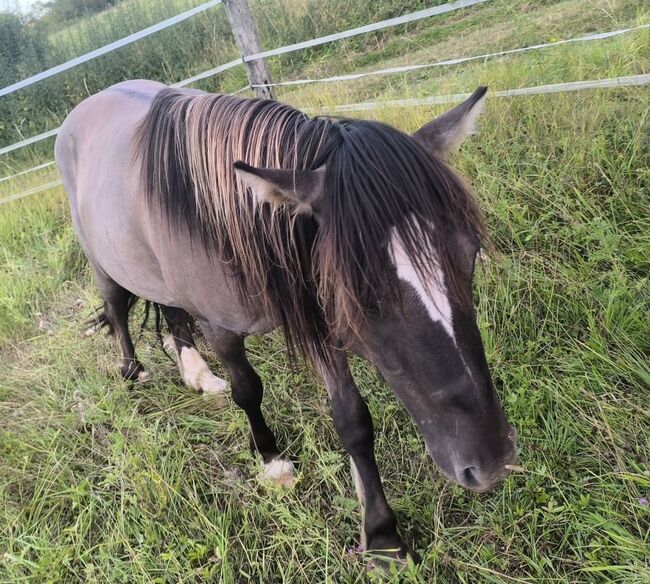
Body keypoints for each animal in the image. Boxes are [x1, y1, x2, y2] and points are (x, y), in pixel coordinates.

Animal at [55, 80, 517, 562]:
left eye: (469, 256)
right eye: (363, 296)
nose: (491, 461)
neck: (224, 220)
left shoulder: (322, 320)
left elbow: (352, 420)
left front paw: (382, 538)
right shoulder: (222, 328)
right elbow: (247, 389)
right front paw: (271, 460)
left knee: (171, 310)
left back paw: (196, 374)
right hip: (102, 264)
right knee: (117, 309)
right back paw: (132, 371)